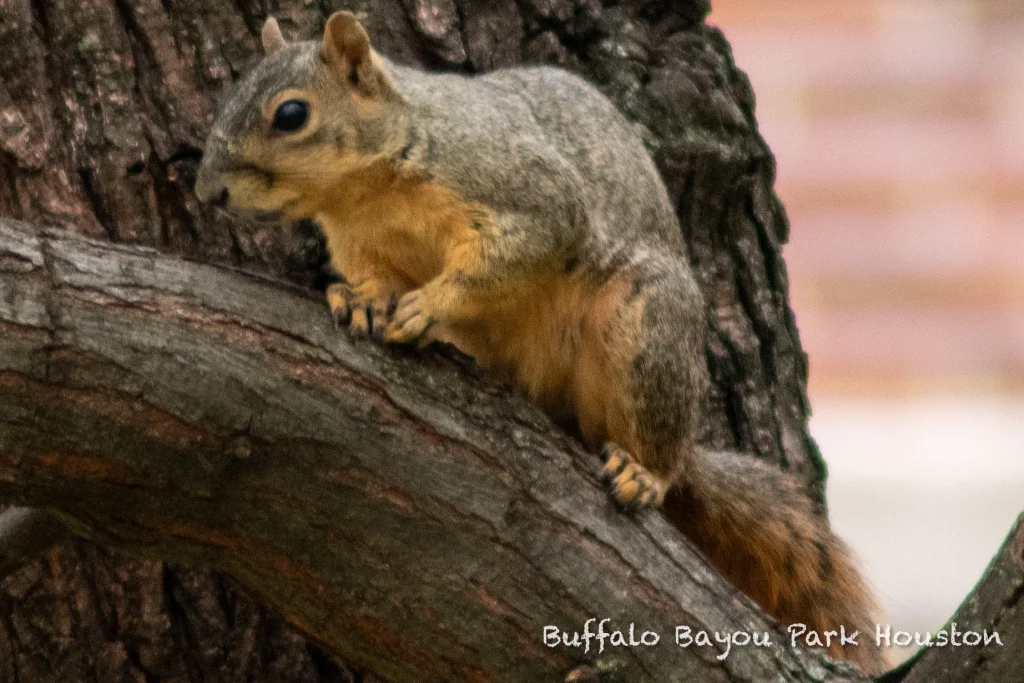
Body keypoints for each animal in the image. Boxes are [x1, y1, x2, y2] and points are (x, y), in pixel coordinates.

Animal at [195, 12, 886, 675]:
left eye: (291, 114)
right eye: (228, 93)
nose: (208, 193)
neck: (365, 188)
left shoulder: (522, 190)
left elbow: (510, 257)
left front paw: (428, 306)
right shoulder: (358, 242)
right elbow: (373, 276)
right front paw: (362, 300)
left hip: (645, 328)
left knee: (656, 442)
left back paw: (645, 472)